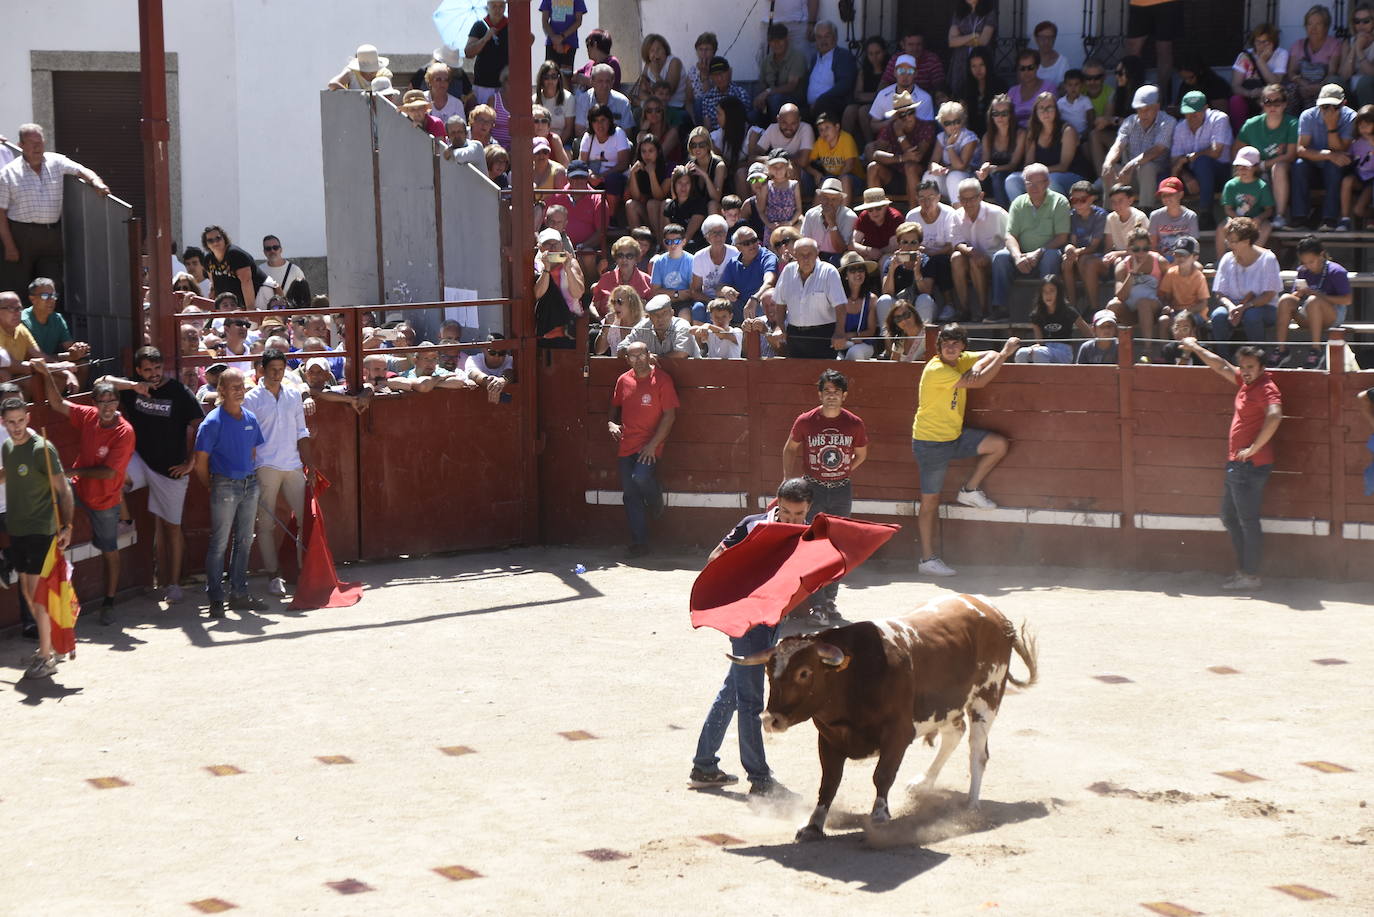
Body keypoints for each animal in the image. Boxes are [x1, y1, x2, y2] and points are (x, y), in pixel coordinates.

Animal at [736, 596, 1033, 841]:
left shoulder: (897, 735)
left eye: (804, 672)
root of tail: (994, 614)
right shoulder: (829, 739)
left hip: (986, 699)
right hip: (949, 705)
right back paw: (923, 783)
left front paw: (879, 815)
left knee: (977, 753)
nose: (770, 719)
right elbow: (829, 783)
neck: (852, 676)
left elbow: (882, 775)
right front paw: (813, 825)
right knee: (954, 734)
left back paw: (971, 805)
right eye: (768, 671)